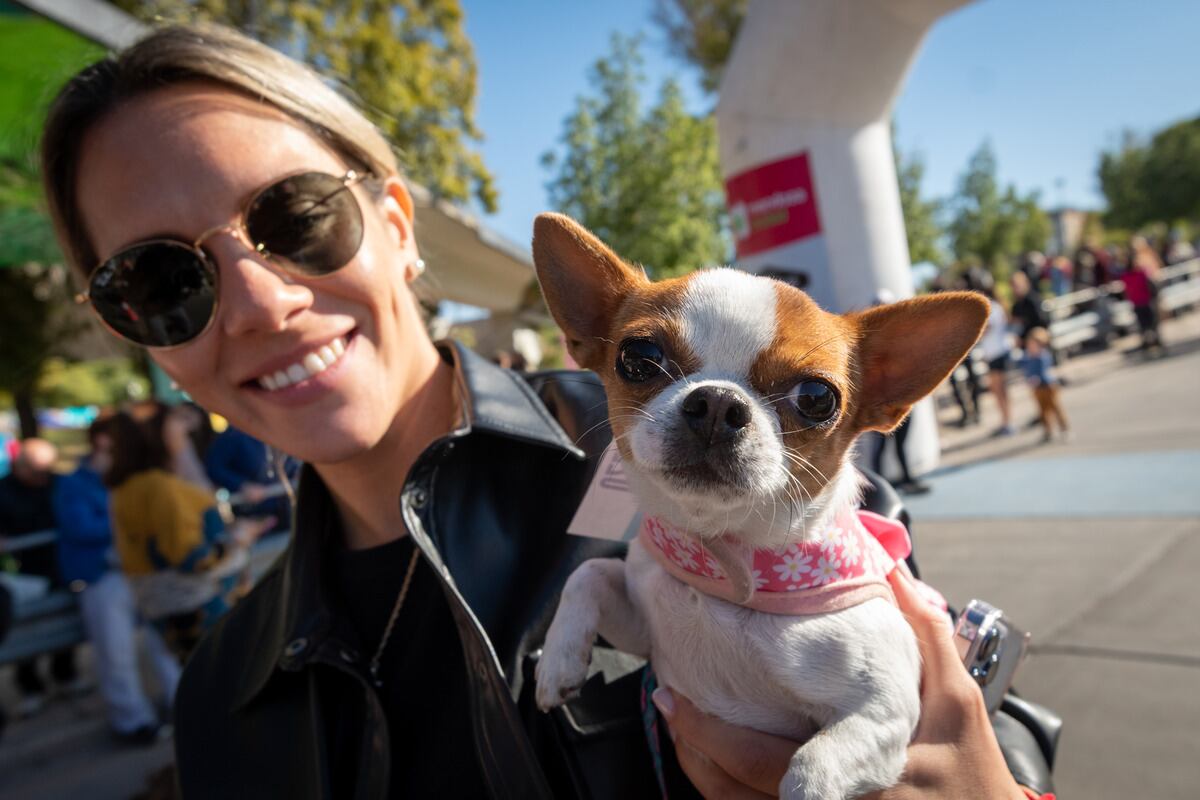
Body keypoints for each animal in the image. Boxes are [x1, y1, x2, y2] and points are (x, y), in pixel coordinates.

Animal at [535, 214, 984, 800]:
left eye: (817, 397)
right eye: (638, 358)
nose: (717, 403)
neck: (731, 561)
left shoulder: (884, 711)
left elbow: (813, 766)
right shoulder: (644, 631)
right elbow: (588, 572)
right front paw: (558, 660)